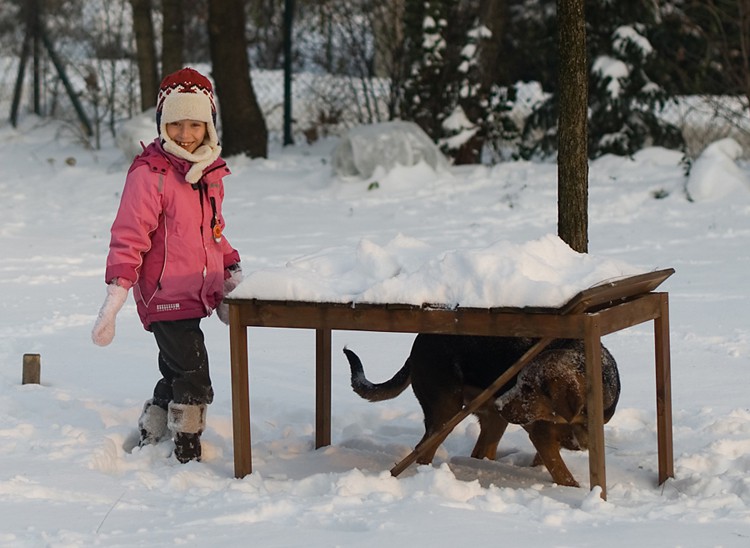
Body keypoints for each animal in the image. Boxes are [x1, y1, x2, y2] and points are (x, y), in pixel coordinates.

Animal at [344, 336, 620, 486]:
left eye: (529, 387)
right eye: (519, 380)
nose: (500, 404)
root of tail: (416, 345)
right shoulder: (542, 436)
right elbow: (564, 477)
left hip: (492, 419)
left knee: (480, 452)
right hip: (446, 412)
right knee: (422, 452)